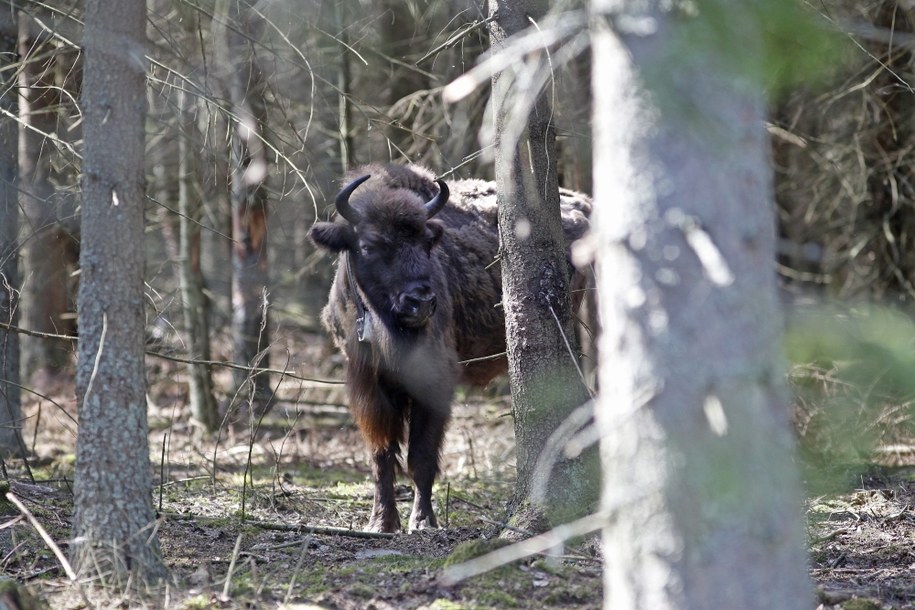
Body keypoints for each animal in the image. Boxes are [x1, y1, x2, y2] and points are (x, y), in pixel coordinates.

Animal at [310, 164, 592, 528]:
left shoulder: (435, 385)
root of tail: (581, 204)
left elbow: (421, 456)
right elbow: (382, 454)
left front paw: (422, 521)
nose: (421, 301)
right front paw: (382, 522)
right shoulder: (368, 384)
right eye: (369, 246)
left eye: (426, 242)